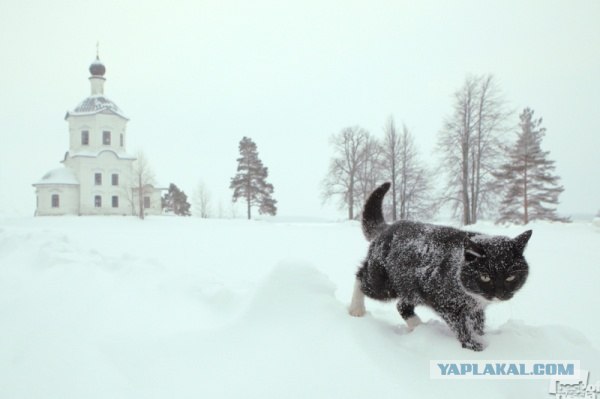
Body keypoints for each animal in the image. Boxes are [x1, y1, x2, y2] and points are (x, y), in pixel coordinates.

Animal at [350, 183, 532, 352]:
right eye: (485, 277)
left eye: (510, 277)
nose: (501, 294)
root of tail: (386, 228)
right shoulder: (444, 302)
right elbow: (461, 326)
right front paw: (473, 346)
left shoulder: (476, 308)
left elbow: (477, 324)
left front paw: (482, 338)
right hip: (384, 284)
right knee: (361, 278)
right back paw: (356, 309)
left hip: (410, 287)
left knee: (402, 305)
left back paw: (417, 326)